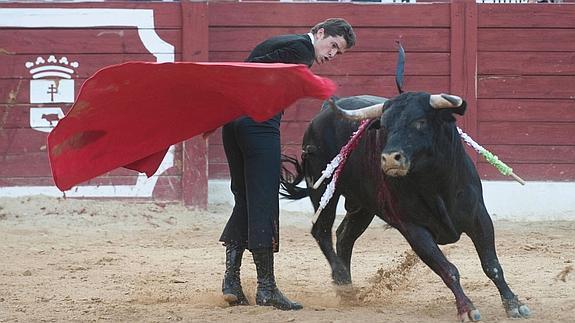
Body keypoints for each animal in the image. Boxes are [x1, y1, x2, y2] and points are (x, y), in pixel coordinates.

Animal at [280, 92, 532, 322]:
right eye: (385, 126)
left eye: (420, 121)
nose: (390, 159)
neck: (434, 181)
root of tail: (323, 111)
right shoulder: (414, 229)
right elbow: (448, 269)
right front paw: (467, 308)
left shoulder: (479, 216)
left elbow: (492, 265)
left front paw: (514, 304)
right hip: (322, 189)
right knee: (321, 231)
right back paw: (341, 278)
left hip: (364, 206)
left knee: (344, 236)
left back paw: (348, 292)